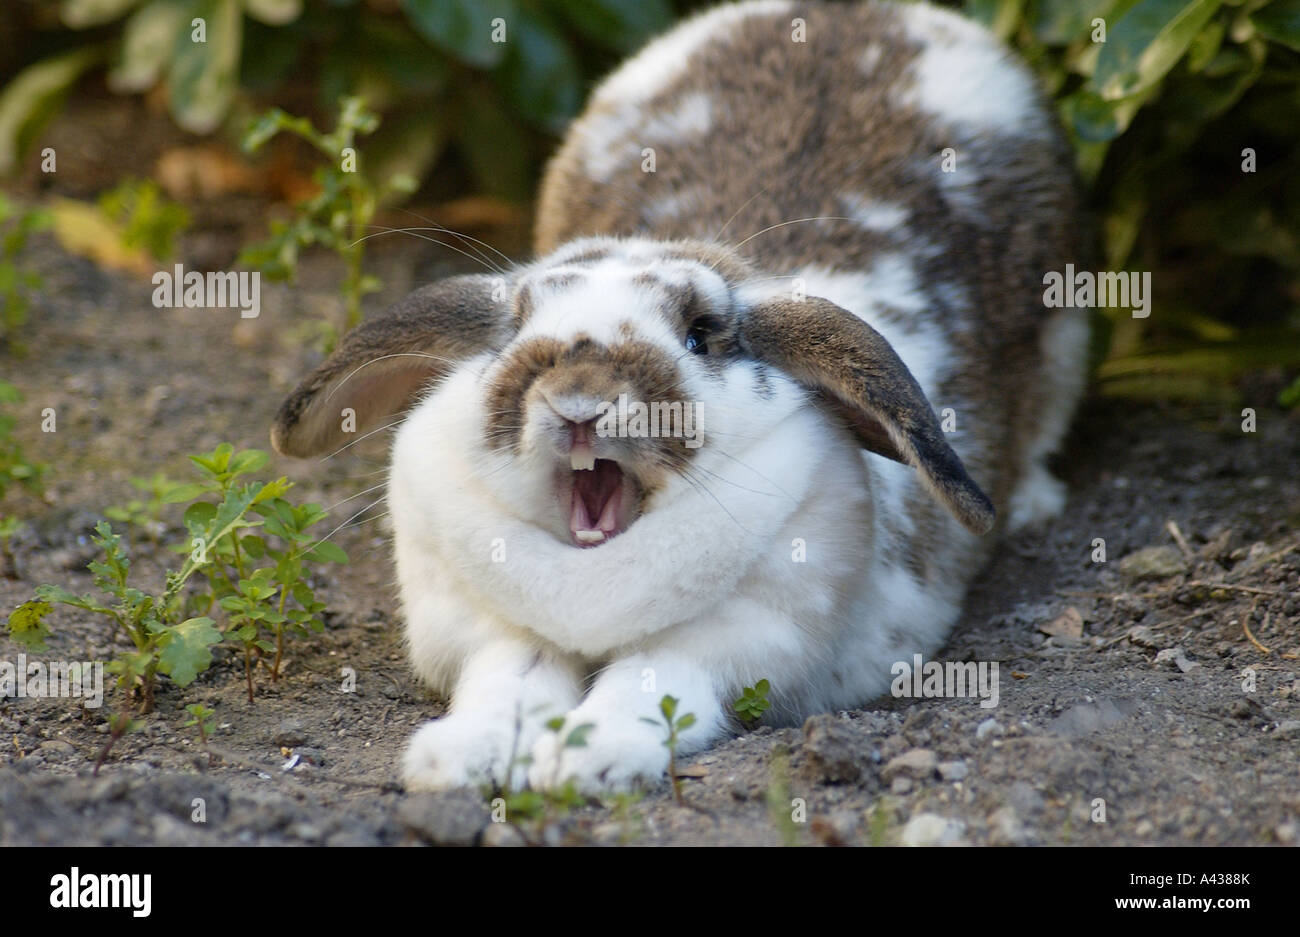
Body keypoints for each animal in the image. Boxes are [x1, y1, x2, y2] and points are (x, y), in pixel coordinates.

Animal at [270, 0, 1088, 793]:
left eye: (700, 335)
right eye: (518, 328)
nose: (579, 400)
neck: (592, 574)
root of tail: (855, 10)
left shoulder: (739, 637)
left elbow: (650, 680)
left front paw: (588, 760)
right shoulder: (492, 632)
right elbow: (510, 681)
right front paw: (458, 759)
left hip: (1064, 334)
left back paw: (1035, 501)